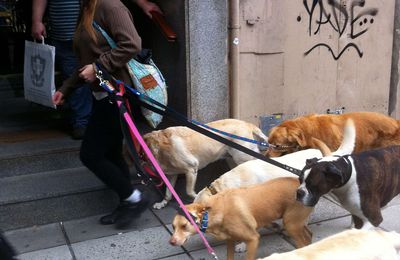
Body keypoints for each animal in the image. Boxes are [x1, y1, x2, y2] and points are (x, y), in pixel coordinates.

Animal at [169, 177, 312, 260]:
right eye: (173, 227)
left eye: (184, 225)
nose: (171, 242)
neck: (214, 211)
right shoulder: (230, 240)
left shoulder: (253, 239)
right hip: (296, 223)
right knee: (308, 236)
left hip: (290, 224)